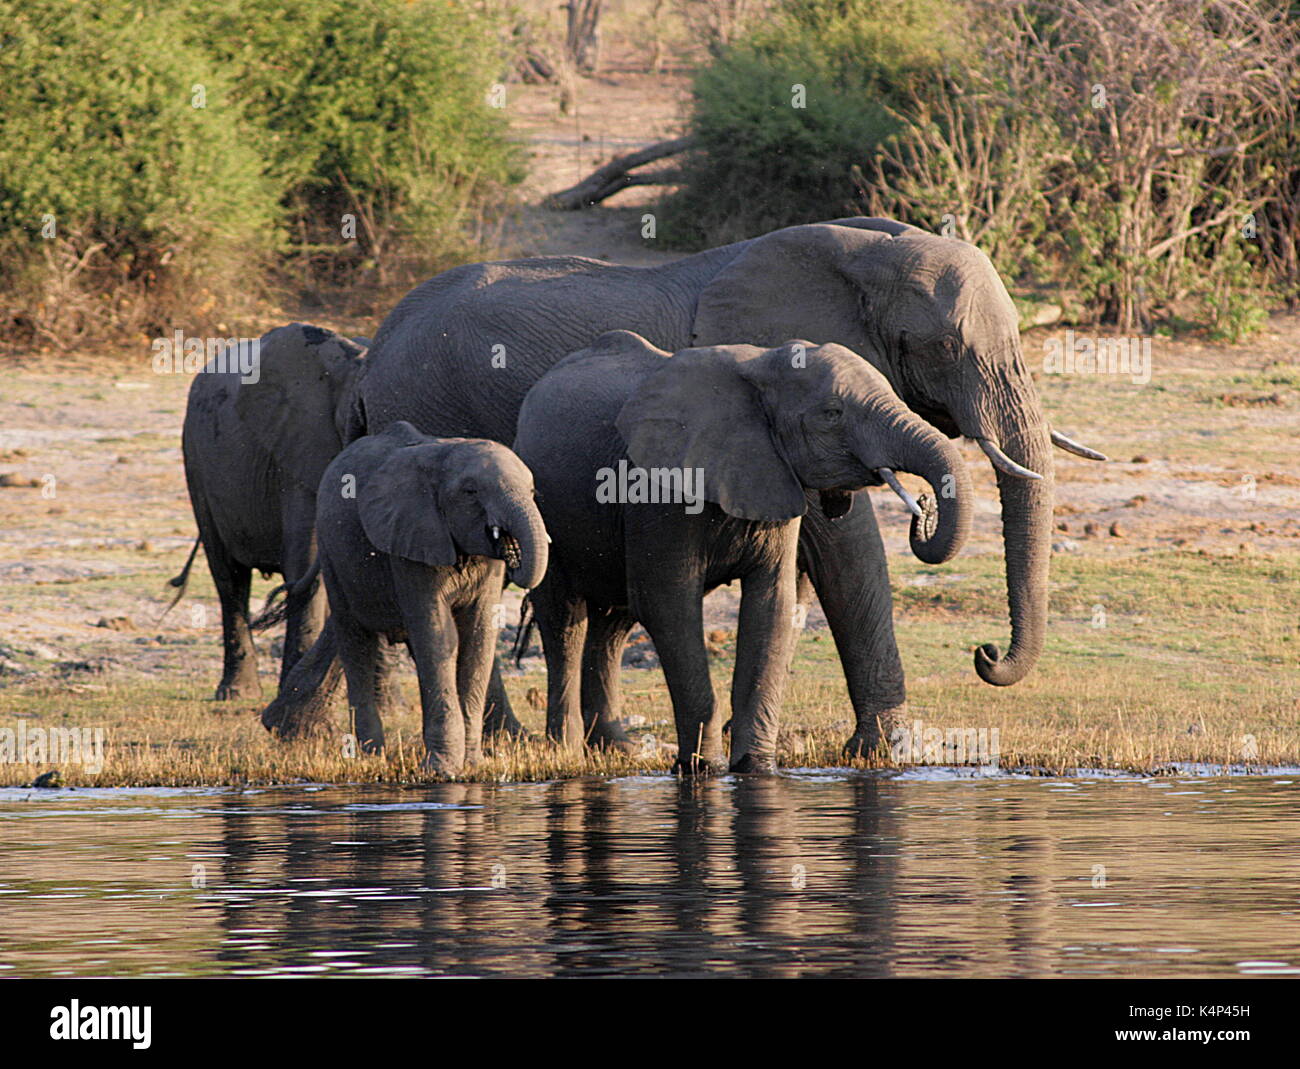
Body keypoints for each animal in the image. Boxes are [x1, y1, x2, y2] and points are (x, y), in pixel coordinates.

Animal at [263, 423, 548, 775]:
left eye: (533, 491)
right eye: (470, 492)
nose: (510, 548)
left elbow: (478, 635)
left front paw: (471, 766)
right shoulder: (410, 539)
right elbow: (437, 634)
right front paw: (442, 771)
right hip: (333, 554)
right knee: (355, 641)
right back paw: (371, 754)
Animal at [512, 330, 972, 775]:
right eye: (832, 413)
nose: (924, 505)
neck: (759, 366)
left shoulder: (777, 477)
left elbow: (771, 606)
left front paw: (756, 769)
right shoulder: (658, 491)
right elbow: (668, 605)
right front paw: (704, 770)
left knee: (612, 625)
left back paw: (614, 749)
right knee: (564, 623)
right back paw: (566, 754)